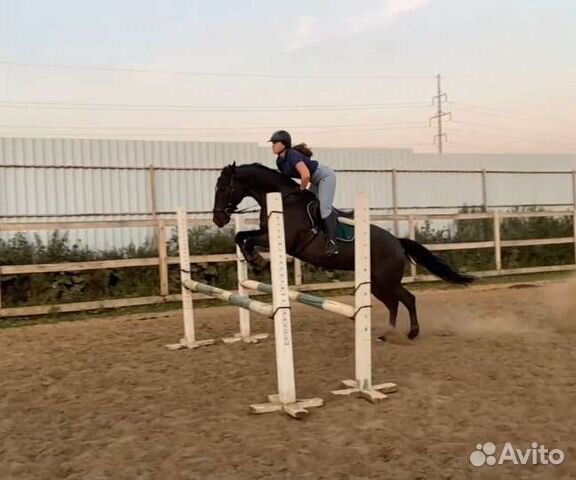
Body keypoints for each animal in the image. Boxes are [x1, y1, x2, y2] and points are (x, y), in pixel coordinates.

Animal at [212, 163, 472, 340]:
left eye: (223, 188)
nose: (218, 219)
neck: (284, 200)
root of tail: (397, 242)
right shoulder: (265, 234)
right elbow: (241, 236)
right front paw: (254, 261)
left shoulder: (283, 239)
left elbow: (246, 238)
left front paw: (258, 262)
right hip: (376, 283)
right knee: (393, 303)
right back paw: (387, 333)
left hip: (386, 280)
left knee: (407, 299)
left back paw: (411, 333)